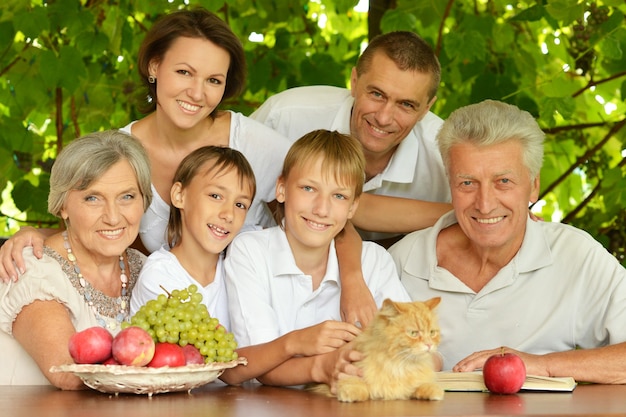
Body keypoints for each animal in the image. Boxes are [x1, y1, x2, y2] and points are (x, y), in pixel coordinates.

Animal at [314, 298, 442, 402]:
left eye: (432, 333)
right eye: (413, 333)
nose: (429, 344)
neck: (400, 366)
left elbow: (421, 385)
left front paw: (434, 391)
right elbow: (357, 384)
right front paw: (350, 392)